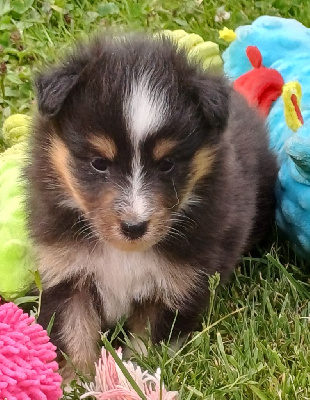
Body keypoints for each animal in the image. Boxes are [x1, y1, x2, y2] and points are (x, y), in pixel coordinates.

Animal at [23, 33, 276, 376]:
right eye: (99, 163)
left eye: (167, 164)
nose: (134, 227)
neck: (123, 254)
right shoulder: (66, 271)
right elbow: (73, 333)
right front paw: (79, 379)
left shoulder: (179, 282)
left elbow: (148, 341)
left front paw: (136, 374)